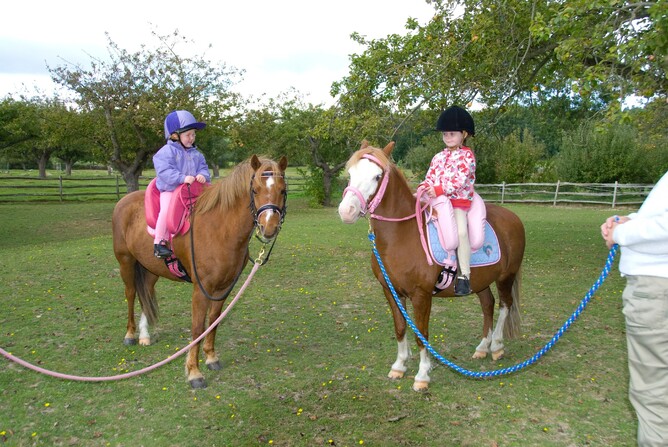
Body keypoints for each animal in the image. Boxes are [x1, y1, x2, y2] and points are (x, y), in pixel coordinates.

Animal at [112, 154, 288, 389]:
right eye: (255, 190)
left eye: (282, 190)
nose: (269, 228)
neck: (220, 229)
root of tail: (125, 200)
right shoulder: (201, 289)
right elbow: (197, 327)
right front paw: (194, 372)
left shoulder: (223, 288)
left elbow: (213, 321)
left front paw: (211, 357)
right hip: (126, 262)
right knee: (131, 294)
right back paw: (130, 334)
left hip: (150, 269)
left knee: (145, 295)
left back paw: (144, 335)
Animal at [338, 141, 525, 391]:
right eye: (350, 174)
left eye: (377, 176)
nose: (346, 211)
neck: (402, 236)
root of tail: (513, 217)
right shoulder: (390, 291)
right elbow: (400, 328)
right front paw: (399, 366)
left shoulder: (421, 295)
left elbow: (422, 334)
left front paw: (422, 375)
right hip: (481, 282)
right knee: (488, 305)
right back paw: (482, 348)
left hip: (506, 277)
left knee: (505, 306)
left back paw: (496, 347)